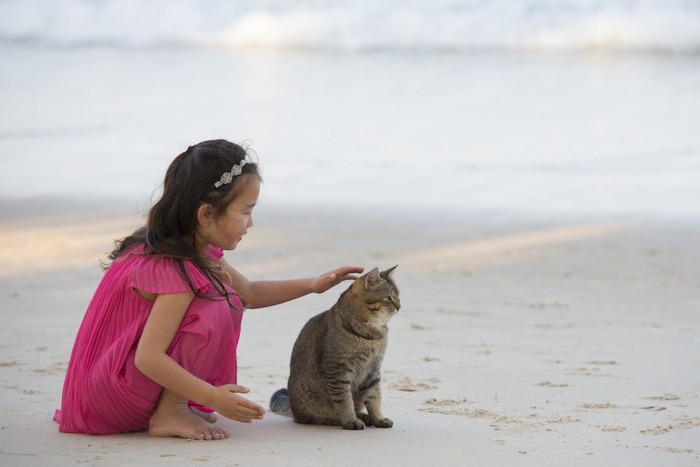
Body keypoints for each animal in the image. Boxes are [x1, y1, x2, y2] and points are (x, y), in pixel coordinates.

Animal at [268, 266, 400, 430]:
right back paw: (337, 419)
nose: (399, 306)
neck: (372, 336)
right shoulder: (338, 370)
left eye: (398, 297)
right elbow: (344, 401)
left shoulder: (373, 370)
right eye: (388, 298)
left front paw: (378, 419)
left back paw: (363, 416)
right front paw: (350, 420)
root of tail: (293, 409)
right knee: (311, 418)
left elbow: (374, 398)